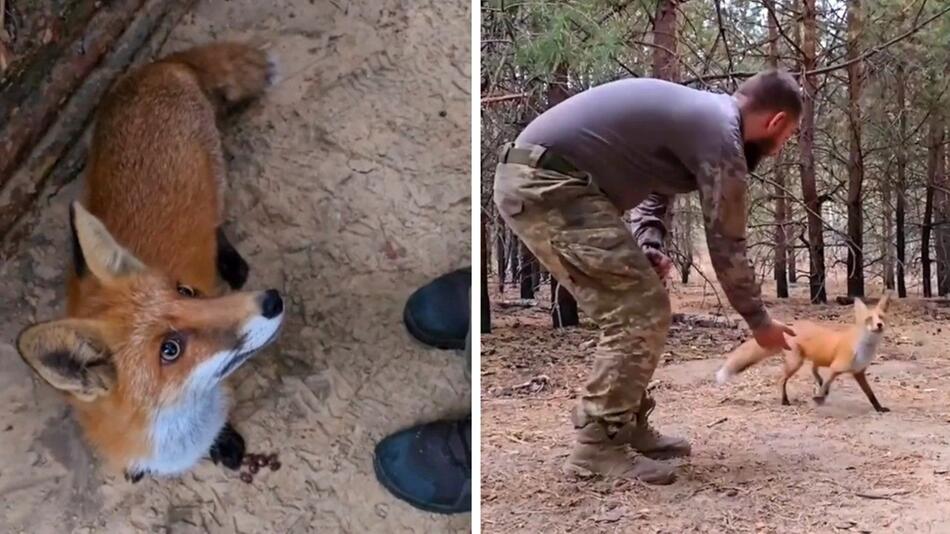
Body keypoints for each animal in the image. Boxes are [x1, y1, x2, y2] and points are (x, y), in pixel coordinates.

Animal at [14, 42, 282, 484]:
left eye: (186, 291)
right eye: (170, 350)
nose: (272, 300)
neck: (171, 438)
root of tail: (153, 68)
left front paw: (225, 442)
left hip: (217, 181)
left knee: (217, 222)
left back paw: (231, 262)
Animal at [716, 294, 896, 414]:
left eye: (881, 317)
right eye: (869, 319)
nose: (879, 325)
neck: (864, 347)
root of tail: (790, 327)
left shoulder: (859, 373)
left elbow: (871, 394)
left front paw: (879, 408)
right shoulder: (836, 367)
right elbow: (826, 384)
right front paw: (820, 398)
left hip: (812, 359)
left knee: (813, 369)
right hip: (796, 363)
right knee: (781, 380)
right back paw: (785, 400)